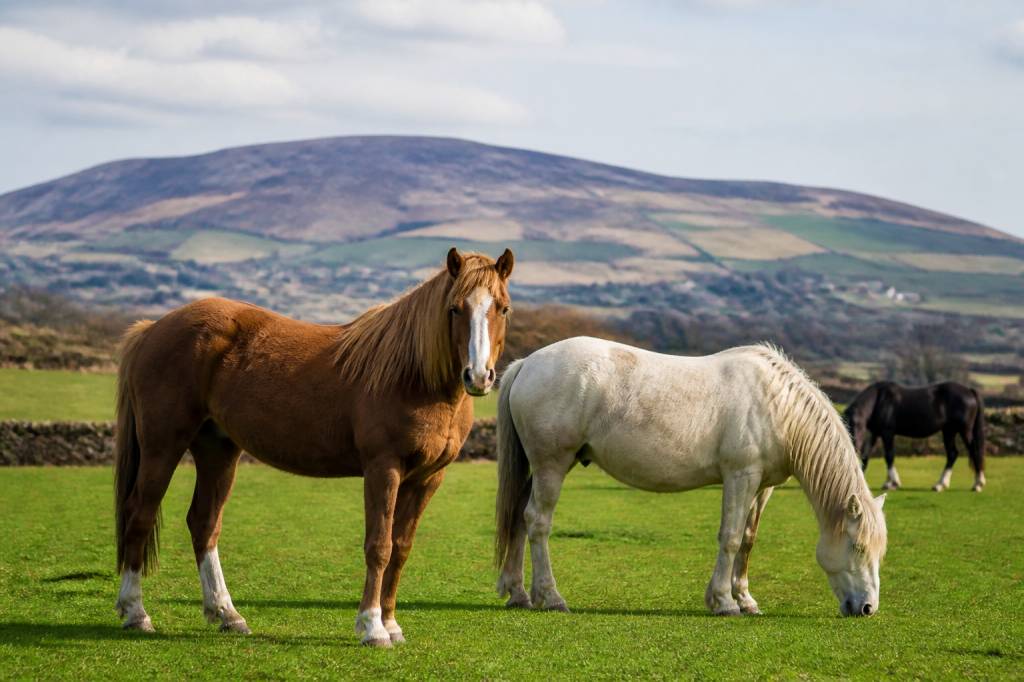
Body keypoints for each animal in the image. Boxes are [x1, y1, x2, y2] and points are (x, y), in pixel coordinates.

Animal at [113, 247, 514, 647]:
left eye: (503, 308)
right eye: (455, 308)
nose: (479, 376)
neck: (411, 375)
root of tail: (152, 329)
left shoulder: (427, 478)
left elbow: (400, 549)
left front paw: (392, 624)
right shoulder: (383, 469)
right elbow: (379, 547)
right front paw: (372, 627)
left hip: (218, 450)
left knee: (204, 523)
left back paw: (227, 614)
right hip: (162, 446)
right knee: (140, 515)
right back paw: (136, 613)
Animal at [494, 338, 888, 618]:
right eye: (857, 546)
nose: (867, 608)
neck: (777, 403)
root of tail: (527, 364)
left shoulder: (763, 486)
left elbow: (748, 540)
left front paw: (745, 600)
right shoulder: (740, 476)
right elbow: (730, 538)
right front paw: (724, 602)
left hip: (539, 468)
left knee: (518, 518)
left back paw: (519, 593)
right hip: (552, 465)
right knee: (537, 522)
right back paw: (551, 597)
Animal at [843, 381, 986, 493]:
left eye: (856, 425)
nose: (854, 445)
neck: (880, 400)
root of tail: (969, 391)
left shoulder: (887, 433)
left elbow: (889, 456)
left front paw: (893, 483)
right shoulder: (876, 433)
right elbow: (866, 457)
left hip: (964, 430)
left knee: (974, 451)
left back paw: (978, 484)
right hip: (949, 431)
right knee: (952, 454)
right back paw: (940, 485)